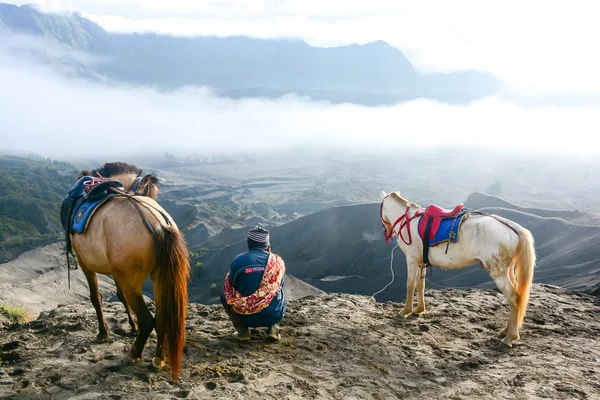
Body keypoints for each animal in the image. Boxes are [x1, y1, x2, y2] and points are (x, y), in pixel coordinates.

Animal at [70, 161, 192, 382]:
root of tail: (158, 225)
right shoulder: (116, 271)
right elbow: (118, 296)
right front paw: (131, 326)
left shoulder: (85, 263)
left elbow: (96, 297)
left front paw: (103, 333)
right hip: (159, 278)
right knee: (161, 317)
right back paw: (158, 359)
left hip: (131, 282)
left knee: (147, 320)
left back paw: (134, 354)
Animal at [380, 189, 536, 346]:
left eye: (381, 209)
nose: (388, 232)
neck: (408, 221)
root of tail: (512, 227)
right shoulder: (420, 262)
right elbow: (420, 285)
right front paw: (419, 310)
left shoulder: (411, 260)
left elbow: (410, 285)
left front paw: (405, 311)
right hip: (507, 271)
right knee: (518, 297)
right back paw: (506, 331)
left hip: (498, 272)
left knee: (513, 298)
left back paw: (510, 336)